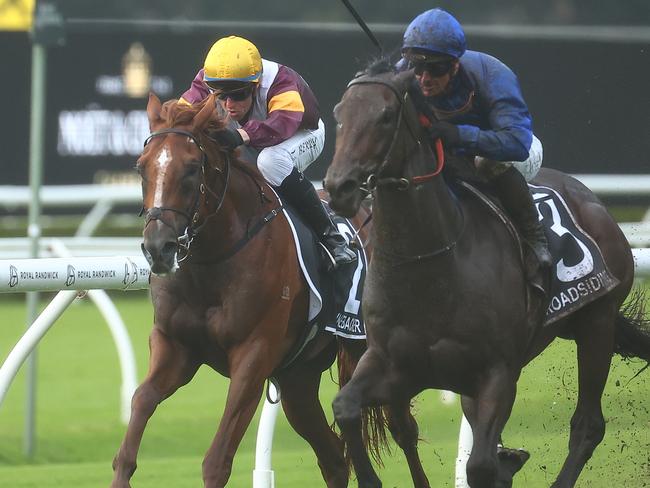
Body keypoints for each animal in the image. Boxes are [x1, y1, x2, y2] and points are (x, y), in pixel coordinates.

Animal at [110, 93, 388, 486]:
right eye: (141, 167)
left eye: (192, 168)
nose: (158, 248)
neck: (211, 263)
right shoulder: (174, 346)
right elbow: (139, 408)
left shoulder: (254, 354)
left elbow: (217, 460)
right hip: (299, 379)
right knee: (334, 456)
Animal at [322, 66, 648, 488]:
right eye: (339, 115)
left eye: (385, 116)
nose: (339, 187)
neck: (429, 265)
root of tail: (593, 202)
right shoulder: (396, 366)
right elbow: (346, 407)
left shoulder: (496, 372)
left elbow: (479, 465)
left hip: (597, 323)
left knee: (588, 425)